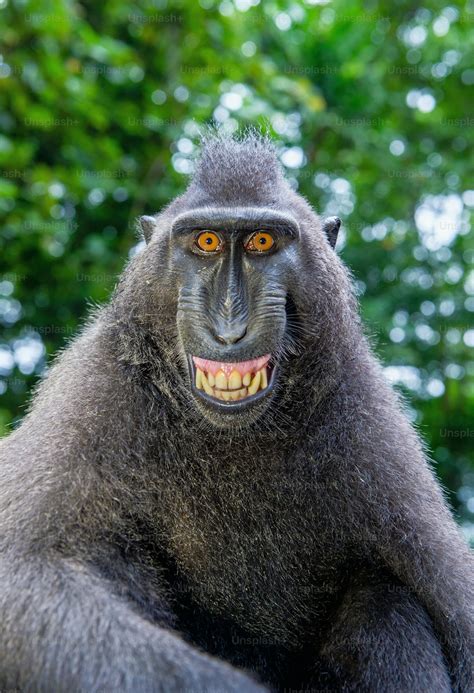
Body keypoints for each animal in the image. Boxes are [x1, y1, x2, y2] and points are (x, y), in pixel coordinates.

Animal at [0, 132, 472, 693]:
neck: (233, 435)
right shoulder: (94, 390)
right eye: (206, 242)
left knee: (386, 599)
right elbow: (24, 572)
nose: (229, 327)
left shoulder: (367, 420)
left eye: (262, 242)